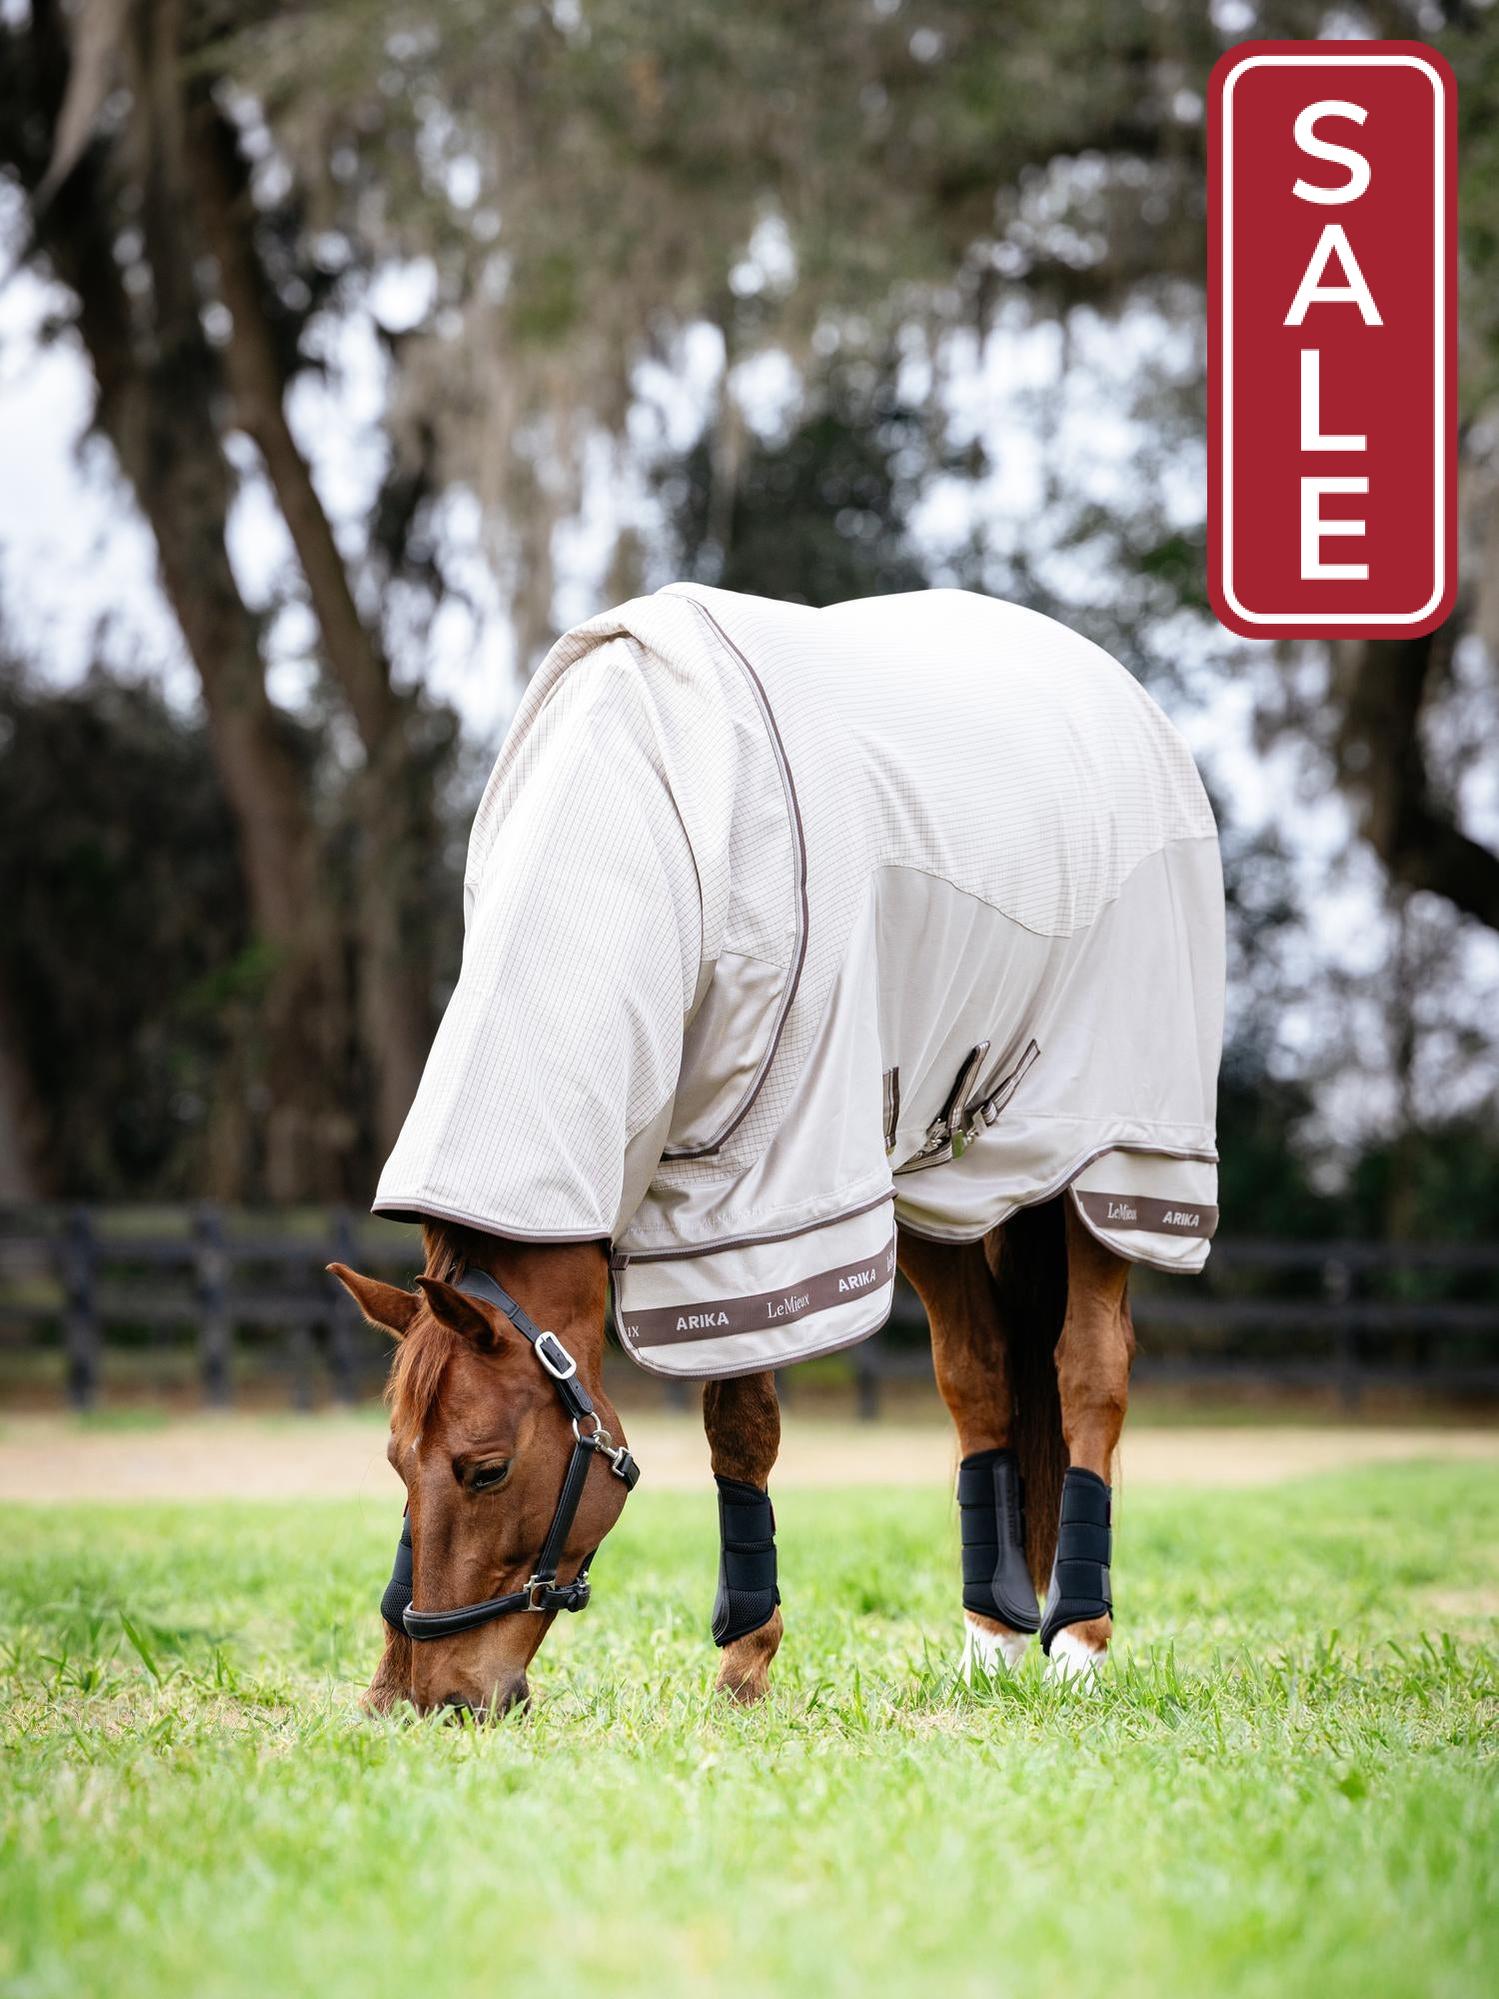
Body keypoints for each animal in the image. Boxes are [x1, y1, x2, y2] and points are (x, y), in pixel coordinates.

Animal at [331, 582, 1221, 1716]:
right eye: (395, 1461)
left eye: (483, 1468)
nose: (425, 1694)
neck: (647, 812)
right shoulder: (716, 1196)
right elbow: (747, 1420)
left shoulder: (762, 1185)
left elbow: (743, 1421)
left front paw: (744, 1659)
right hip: (933, 1178)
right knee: (979, 1378)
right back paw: (988, 1642)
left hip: (1110, 1166)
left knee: (1087, 1373)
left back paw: (1078, 1644)